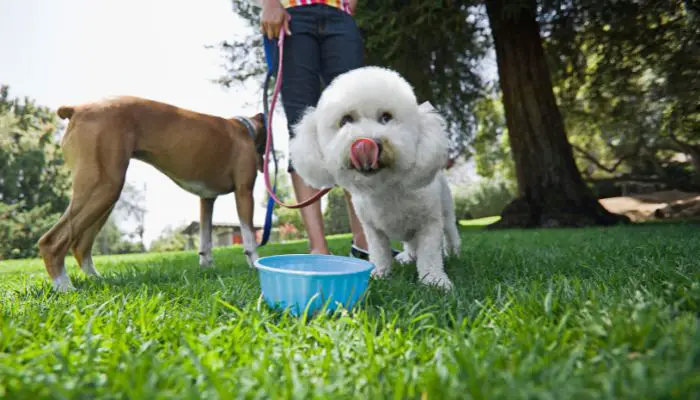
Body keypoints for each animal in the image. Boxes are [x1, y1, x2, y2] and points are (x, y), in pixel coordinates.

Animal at [39, 96, 266, 290]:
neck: (244, 128)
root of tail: (76, 109)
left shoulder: (206, 199)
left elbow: (205, 239)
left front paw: (207, 266)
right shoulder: (244, 192)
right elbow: (249, 235)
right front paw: (256, 264)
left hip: (102, 196)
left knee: (80, 246)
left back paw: (97, 280)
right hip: (102, 189)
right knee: (51, 242)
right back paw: (65, 287)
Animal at [288, 66, 460, 290]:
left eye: (386, 117)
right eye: (346, 120)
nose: (369, 144)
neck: (385, 188)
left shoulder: (429, 223)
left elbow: (430, 254)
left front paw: (435, 281)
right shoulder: (372, 229)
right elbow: (379, 253)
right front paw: (379, 274)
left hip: (445, 211)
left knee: (450, 233)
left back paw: (453, 254)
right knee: (411, 243)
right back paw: (408, 256)